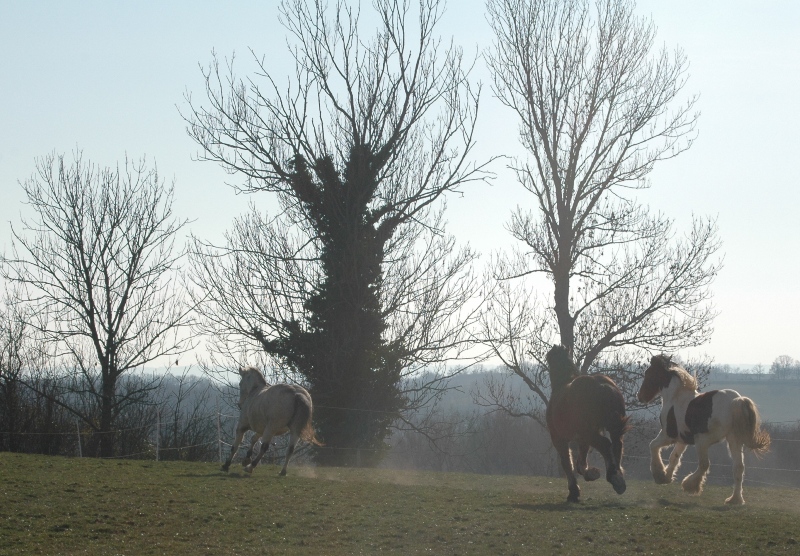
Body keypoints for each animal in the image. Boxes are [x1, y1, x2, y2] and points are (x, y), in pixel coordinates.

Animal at [548, 346, 628, 502]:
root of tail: (601, 385)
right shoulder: (582, 439)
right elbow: (580, 462)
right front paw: (591, 474)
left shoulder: (559, 439)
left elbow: (567, 462)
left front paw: (574, 491)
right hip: (608, 430)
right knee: (617, 445)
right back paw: (618, 478)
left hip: (589, 433)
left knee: (606, 445)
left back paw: (614, 477)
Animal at [636, 356, 768, 504]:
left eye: (648, 373)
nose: (640, 396)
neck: (675, 397)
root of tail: (736, 400)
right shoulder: (682, 439)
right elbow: (674, 457)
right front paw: (666, 477)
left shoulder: (668, 435)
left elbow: (653, 446)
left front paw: (659, 474)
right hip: (734, 439)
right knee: (738, 467)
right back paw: (735, 499)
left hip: (702, 440)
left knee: (704, 464)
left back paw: (689, 485)